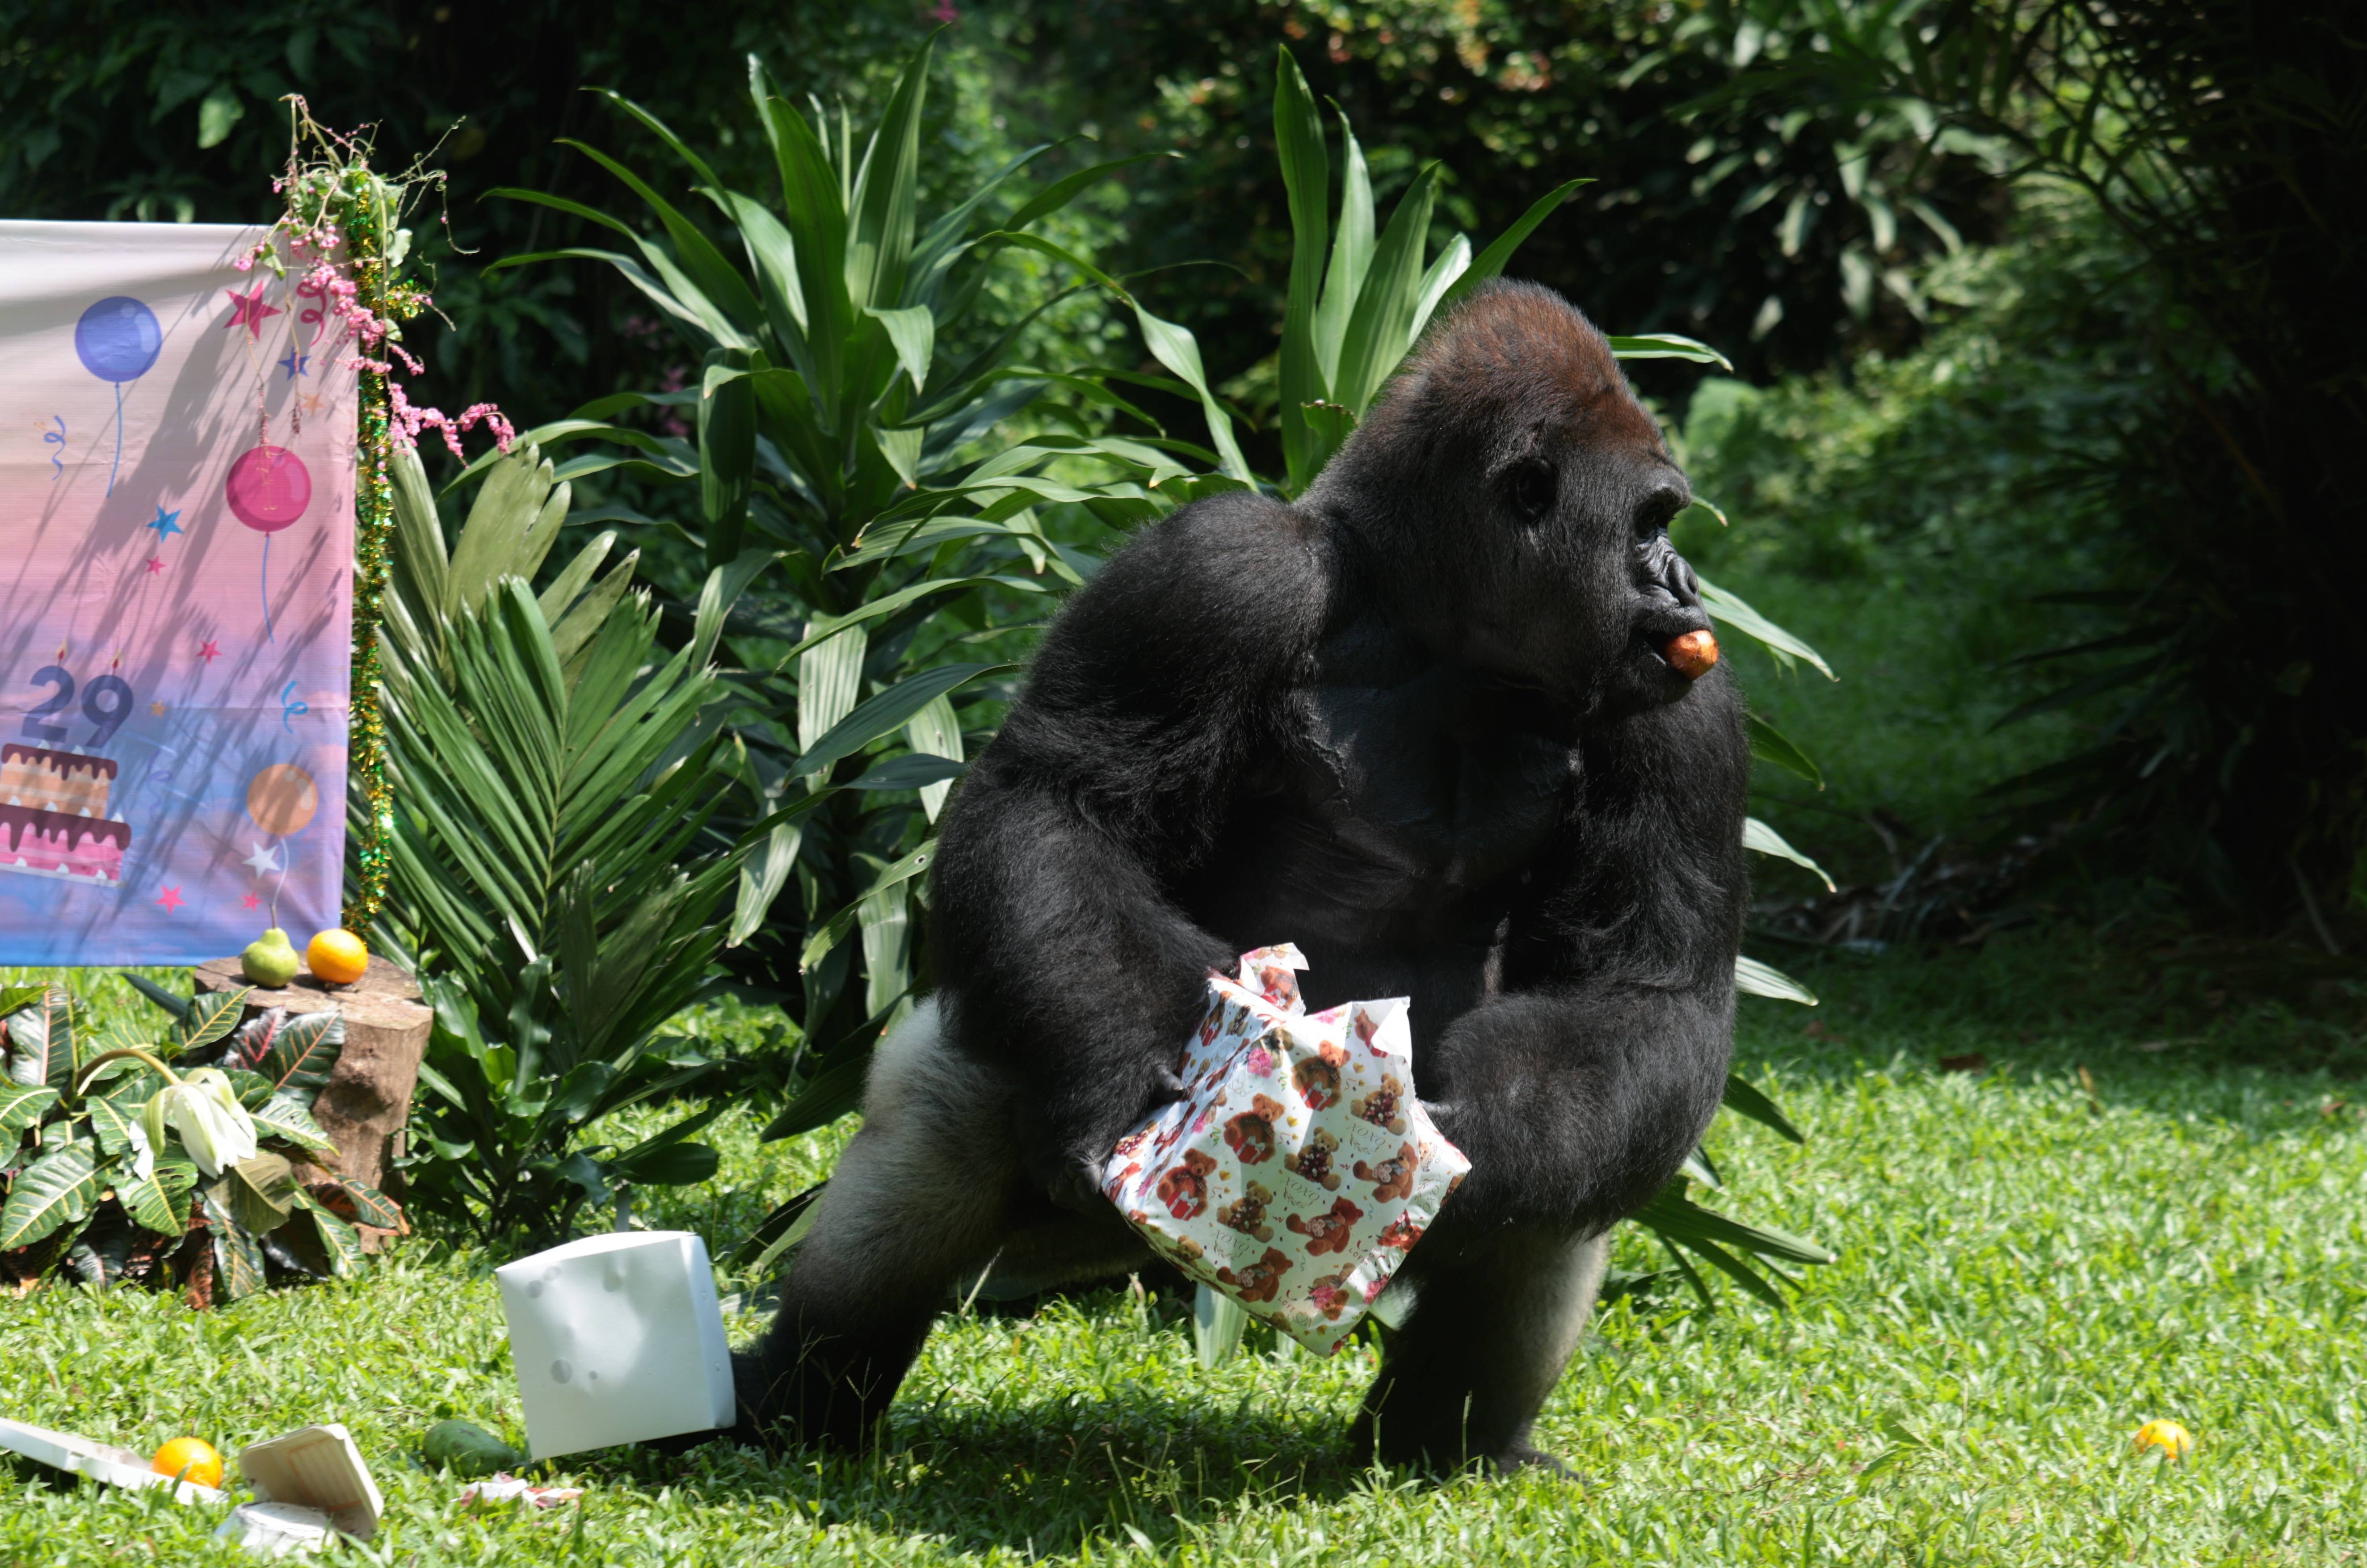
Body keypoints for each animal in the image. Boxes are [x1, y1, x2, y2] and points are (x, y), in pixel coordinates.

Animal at [729, 279, 1751, 1478]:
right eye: (1648, 522)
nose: (1685, 581)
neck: (1436, 623)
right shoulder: (1218, 567)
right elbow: (1062, 807)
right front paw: (1121, 1071)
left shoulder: (1686, 702)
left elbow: (1636, 996)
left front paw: (1485, 1147)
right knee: (956, 1098)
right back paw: (793, 1399)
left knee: (1581, 1156)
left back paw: (1449, 1443)